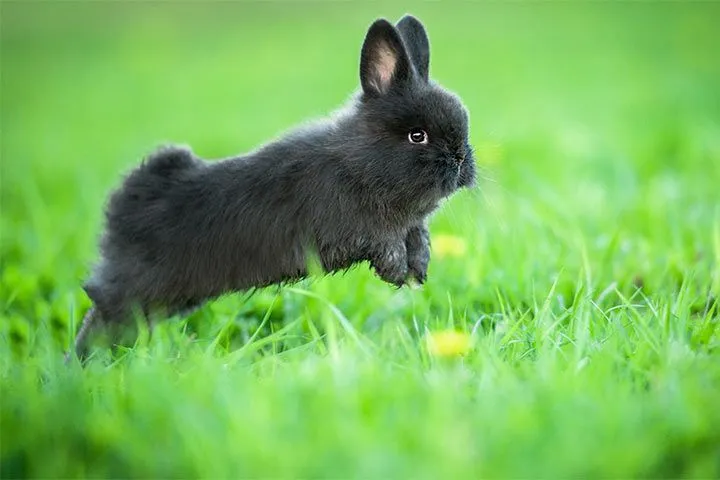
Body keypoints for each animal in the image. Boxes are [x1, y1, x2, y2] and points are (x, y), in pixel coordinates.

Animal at [68, 15, 476, 361]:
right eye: (417, 136)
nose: (459, 159)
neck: (357, 161)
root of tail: (122, 207)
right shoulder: (357, 228)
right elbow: (383, 243)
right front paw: (397, 273)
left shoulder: (409, 225)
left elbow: (417, 237)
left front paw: (418, 271)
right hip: (132, 291)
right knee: (100, 315)